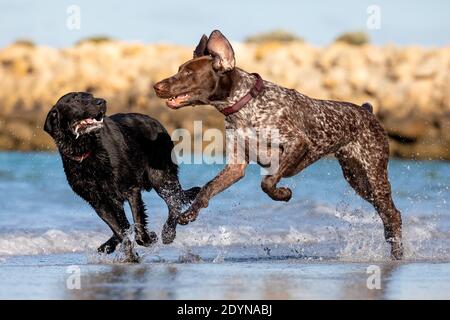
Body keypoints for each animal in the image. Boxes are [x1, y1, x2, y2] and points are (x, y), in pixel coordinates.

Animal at [44, 91, 199, 256]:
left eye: (91, 96)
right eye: (76, 100)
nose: (102, 102)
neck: (88, 151)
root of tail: (157, 122)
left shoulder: (130, 189)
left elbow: (137, 225)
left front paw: (149, 238)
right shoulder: (98, 202)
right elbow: (119, 229)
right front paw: (129, 252)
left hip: (161, 178)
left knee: (174, 202)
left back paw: (168, 232)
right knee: (126, 223)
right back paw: (108, 245)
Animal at [155, 30, 404, 260]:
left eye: (188, 73)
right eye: (179, 69)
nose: (156, 86)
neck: (244, 107)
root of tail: (367, 111)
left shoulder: (297, 144)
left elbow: (267, 182)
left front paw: (283, 194)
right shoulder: (236, 166)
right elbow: (207, 189)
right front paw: (189, 214)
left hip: (374, 176)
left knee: (393, 214)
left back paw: (398, 253)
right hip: (357, 179)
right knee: (386, 214)